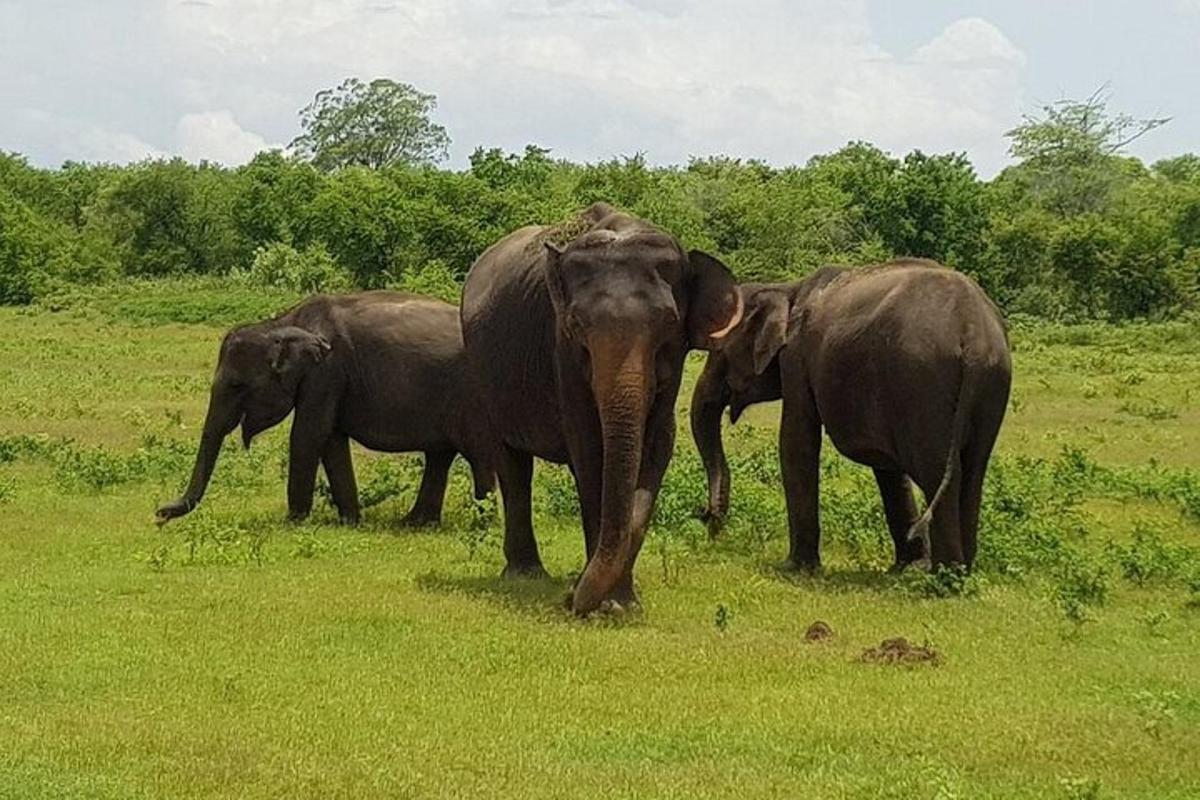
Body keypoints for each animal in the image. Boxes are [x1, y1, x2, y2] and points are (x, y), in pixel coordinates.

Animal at [157, 291, 494, 527]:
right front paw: (350, 521)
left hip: (475, 398)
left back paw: (482, 525)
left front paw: (292, 521)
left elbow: (307, 435)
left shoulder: (326, 373)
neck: (282, 322)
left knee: (478, 455)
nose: (159, 514)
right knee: (440, 455)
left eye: (237, 385)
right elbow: (331, 440)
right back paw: (416, 523)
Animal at [458, 200, 739, 614]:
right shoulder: (562, 351)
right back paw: (526, 574)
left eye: (669, 323)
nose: (568, 598)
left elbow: (655, 451)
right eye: (576, 324)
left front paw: (622, 605)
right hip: (484, 377)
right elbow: (590, 453)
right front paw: (605, 605)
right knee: (512, 463)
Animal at [691, 261, 1008, 568]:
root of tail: (972, 334)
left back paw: (944, 576)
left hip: (925, 383)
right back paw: (960, 572)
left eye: (717, 352)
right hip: (990, 384)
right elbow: (886, 466)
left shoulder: (796, 356)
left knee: (939, 472)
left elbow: (796, 440)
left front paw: (794, 567)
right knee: (973, 471)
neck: (787, 289)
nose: (707, 516)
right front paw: (906, 568)